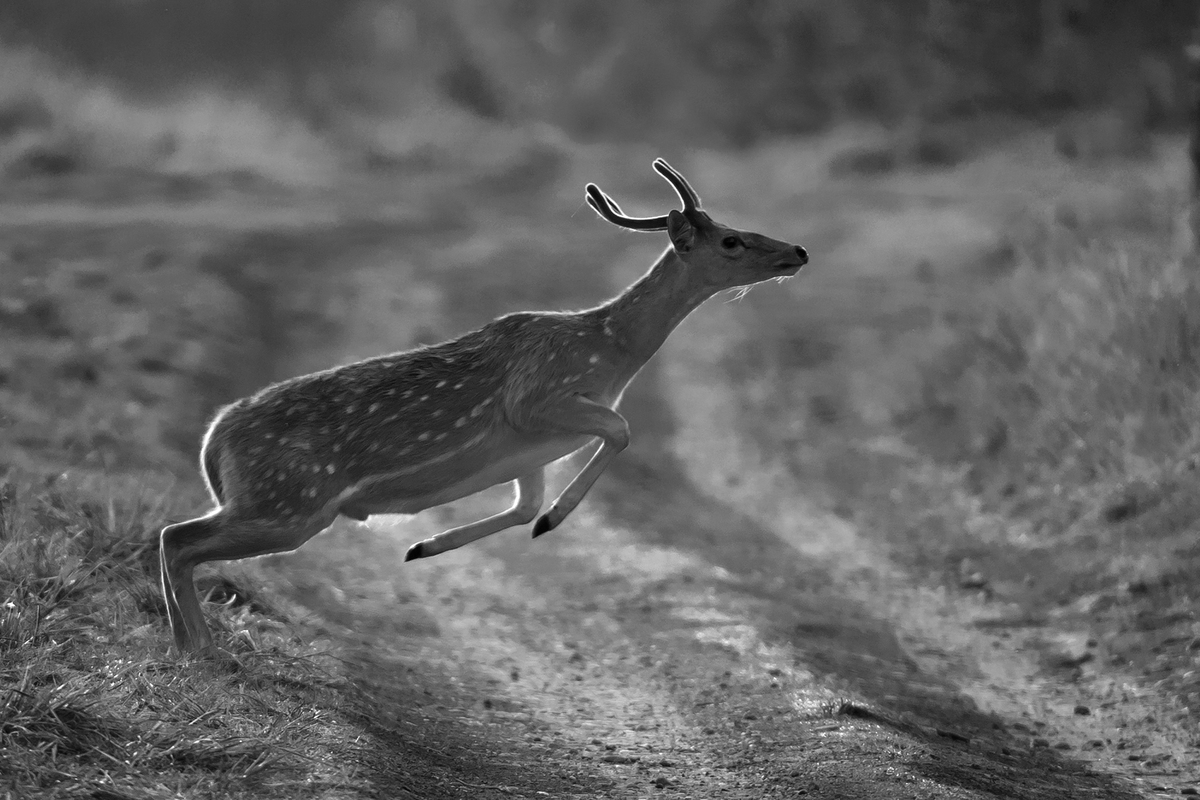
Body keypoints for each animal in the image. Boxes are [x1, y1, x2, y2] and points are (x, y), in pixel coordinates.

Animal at [159, 158, 808, 653]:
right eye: (730, 240)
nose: (798, 250)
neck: (611, 352)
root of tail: (213, 444)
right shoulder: (534, 401)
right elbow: (620, 430)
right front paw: (554, 520)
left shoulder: (530, 452)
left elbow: (525, 507)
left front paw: (424, 546)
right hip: (291, 500)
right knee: (177, 536)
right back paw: (201, 647)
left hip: (278, 503)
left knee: (176, 538)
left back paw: (188, 644)